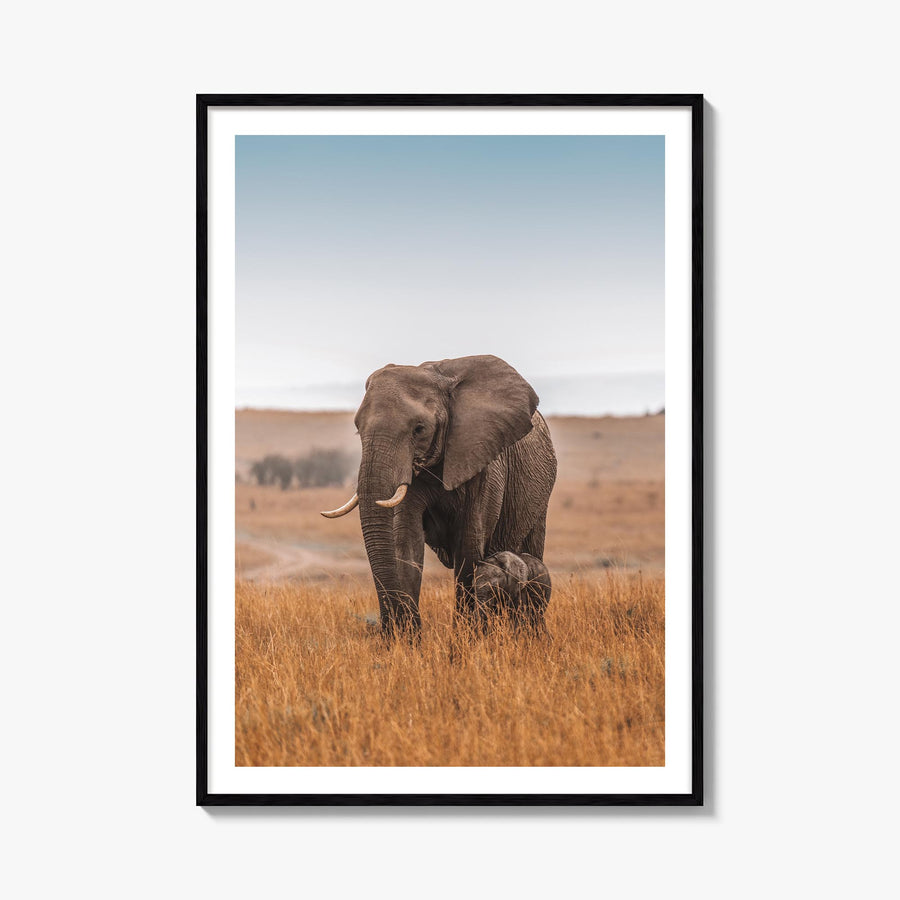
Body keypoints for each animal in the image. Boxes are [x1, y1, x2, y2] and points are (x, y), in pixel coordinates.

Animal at [321, 355, 557, 636]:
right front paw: (406, 641)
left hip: (540, 492)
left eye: (419, 429)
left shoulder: (483, 459)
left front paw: (466, 639)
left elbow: (469, 543)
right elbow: (406, 542)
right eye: (358, 429)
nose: (387, 630)